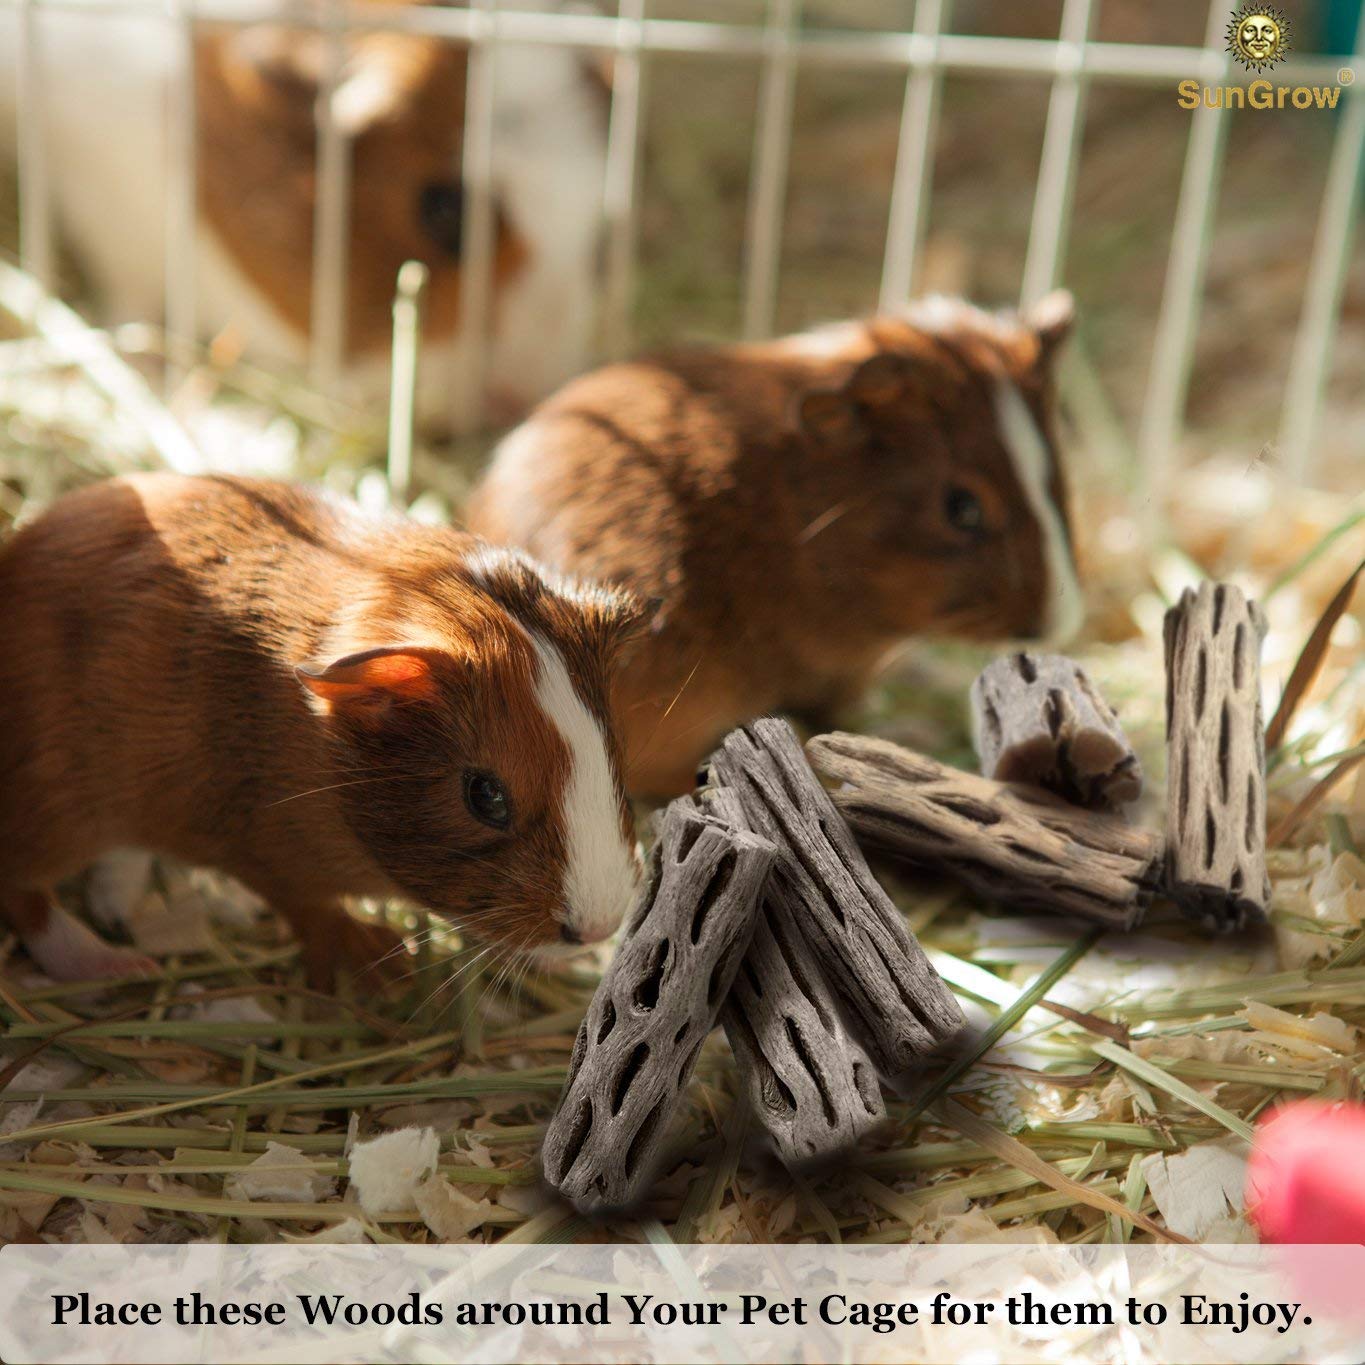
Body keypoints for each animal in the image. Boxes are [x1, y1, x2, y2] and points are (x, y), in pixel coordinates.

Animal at [0, 474, 644, 985]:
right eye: (485, 796)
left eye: (611, 752)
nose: (598, 927)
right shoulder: (265, 850)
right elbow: (309, 906)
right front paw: (383, 964)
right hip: (59, 816)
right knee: (27, 897)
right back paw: (118, 965)